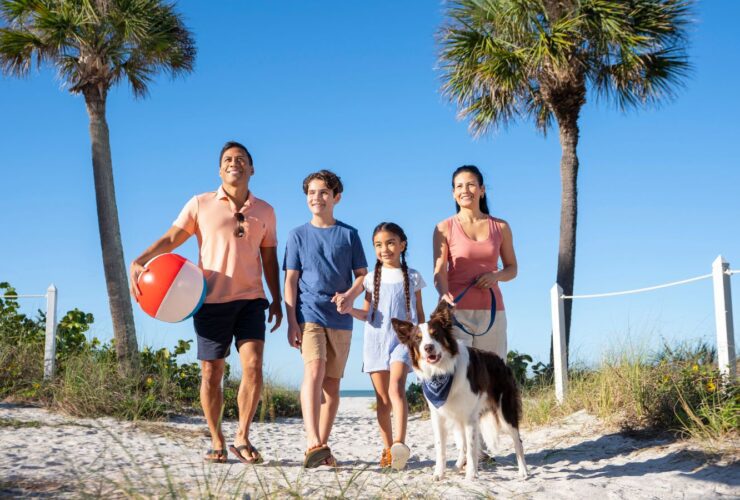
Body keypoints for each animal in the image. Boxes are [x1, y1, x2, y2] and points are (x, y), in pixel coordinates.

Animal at [394, 300, 528, 480]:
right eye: (418, 339)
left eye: (435, 334)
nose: (428, 347)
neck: (442, 371)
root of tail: (501, 362)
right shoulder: (438, 415)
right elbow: (441, 447)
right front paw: (439, 473)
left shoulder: (470, 416)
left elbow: (471, 447)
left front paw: (471, 475)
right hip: (457, 417)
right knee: (462, 444)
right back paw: (457, 466)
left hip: (505, 410)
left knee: (517, 440)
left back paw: (523, 471)